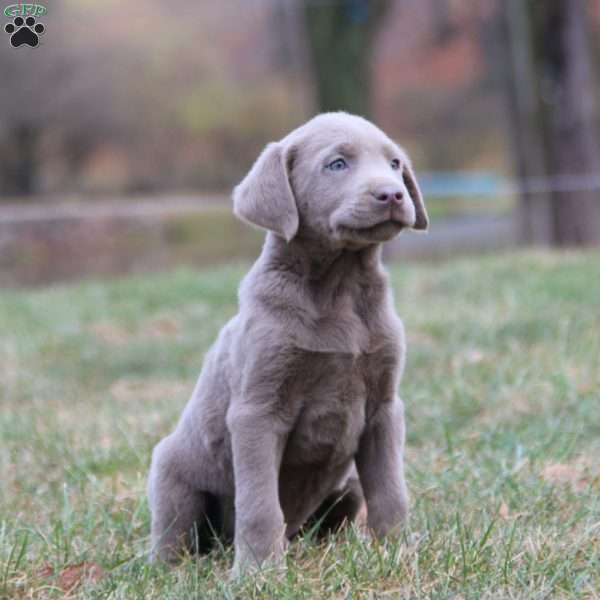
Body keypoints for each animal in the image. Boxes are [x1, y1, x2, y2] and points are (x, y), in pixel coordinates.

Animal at [148, 110, 428, 576]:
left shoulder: (385, 407)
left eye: (394, 164)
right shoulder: (257, 411)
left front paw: (398, 552)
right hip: (171, 471)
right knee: (176, 534)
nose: (392, 194)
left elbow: (391, 490)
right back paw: (170, 566)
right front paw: (258, 573)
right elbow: (260, 503)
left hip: (347, 484)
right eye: (337, 164)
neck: (339, 288)